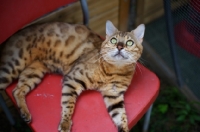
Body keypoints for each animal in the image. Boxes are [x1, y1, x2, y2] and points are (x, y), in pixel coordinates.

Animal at [0, 20, 145, 132]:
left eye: (130, 42)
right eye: (113, 40)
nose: (119, 47)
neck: (114, 70)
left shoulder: (114, 96)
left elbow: (122, 117)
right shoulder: (72, 79)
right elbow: (68, 104)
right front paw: (65, 123)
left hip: (34, 71)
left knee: (17, 90)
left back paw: (25, 113)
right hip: (12, 66)